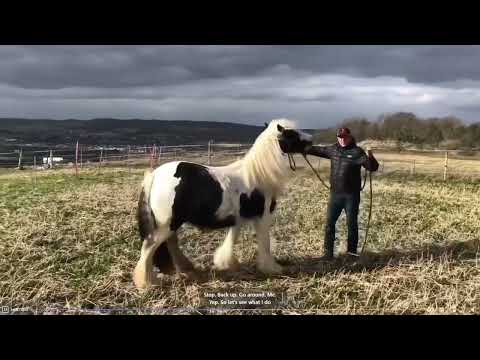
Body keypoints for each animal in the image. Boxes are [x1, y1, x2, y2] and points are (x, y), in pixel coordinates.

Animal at [133, 119, 314, 290]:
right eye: (291, 134)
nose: (312, 139)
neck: (257, 175)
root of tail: (155, 174)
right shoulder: (262, 218)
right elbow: (265, 244)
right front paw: (272, 268)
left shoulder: (239, 218)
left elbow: (231, 239)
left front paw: (227, 263)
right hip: (167, 224)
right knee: (149, 247)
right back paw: (146, 283)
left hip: (171, 223)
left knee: (171, 244)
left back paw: (186, 269)